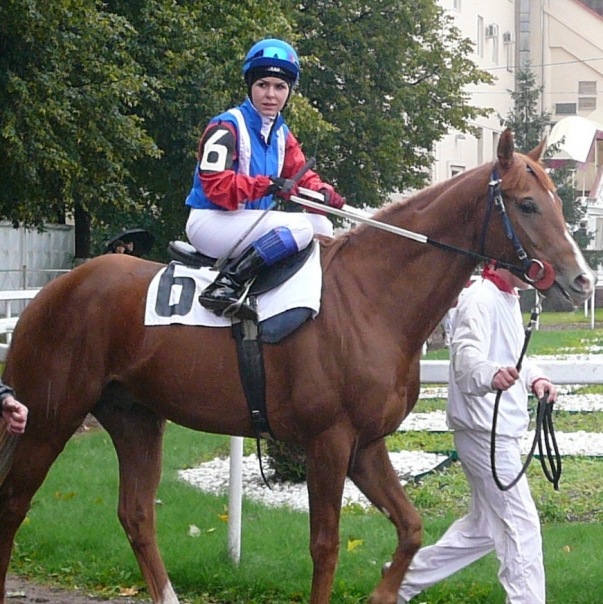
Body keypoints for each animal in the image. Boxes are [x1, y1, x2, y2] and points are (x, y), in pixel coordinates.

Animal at [0, 129, 595, 604]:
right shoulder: (327, 442)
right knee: (14, 502)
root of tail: (55, 290)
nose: (583, 279)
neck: (370, 298)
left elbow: (411, 529)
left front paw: (384, 592)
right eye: (527, 204)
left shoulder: (366, 445)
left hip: (135, 417)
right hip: (47, 418)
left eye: (555, 200)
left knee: (137, 514)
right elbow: (326, 546)